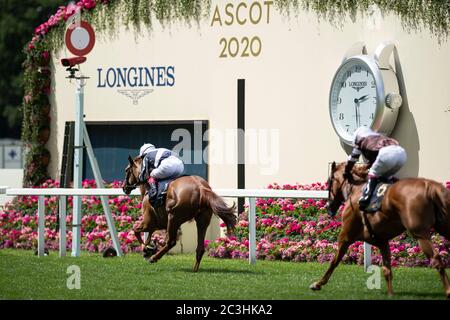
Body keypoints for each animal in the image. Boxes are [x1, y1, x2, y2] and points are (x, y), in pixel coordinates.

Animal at [310, 162, 450, 298]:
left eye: (329, 181)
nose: (329, 206)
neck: (356, 190)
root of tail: (429, 186)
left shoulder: (345, 236)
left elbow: (334, 261)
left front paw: (317, 284)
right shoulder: (382, 242)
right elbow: (387, 270)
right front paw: (390, 294)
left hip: (419, 233)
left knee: (436, 258)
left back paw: (448, 291)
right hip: (443, 226)